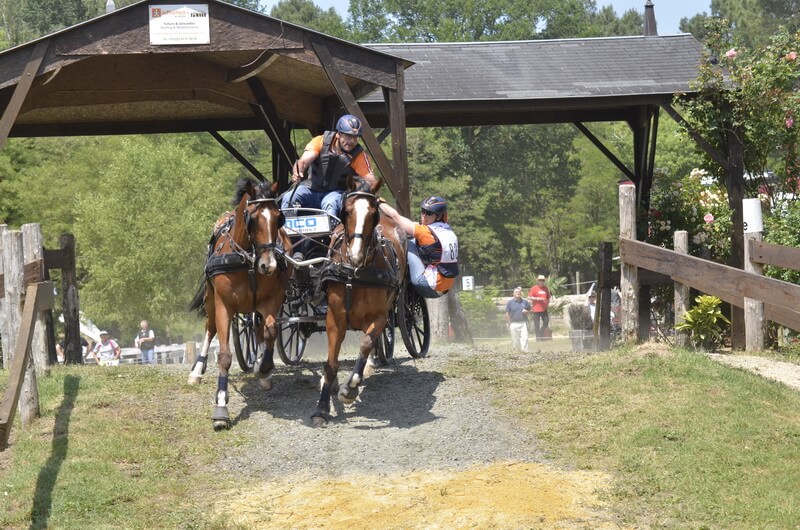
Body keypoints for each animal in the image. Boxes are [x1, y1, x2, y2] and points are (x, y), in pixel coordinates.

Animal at [187, 178, 292, 431]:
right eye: (252, 218)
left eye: (279, 218)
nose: (269, 265)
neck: (248, 260)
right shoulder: (224, 306)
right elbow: (225, 356)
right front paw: (221, 408)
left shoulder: (271, 301)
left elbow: (270, 331)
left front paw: (262, 367)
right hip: (210, 299)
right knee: (210, 329)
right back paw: (196, 371)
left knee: (260, 330)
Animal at [312, 176, 407, 425]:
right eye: (346, 212)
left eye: (373, 214)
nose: (355, 254)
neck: (354, 273)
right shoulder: (334, 318)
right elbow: (331, 364)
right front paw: (322, 408)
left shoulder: (380, 317)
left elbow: (365, 344)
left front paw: (351, 387)